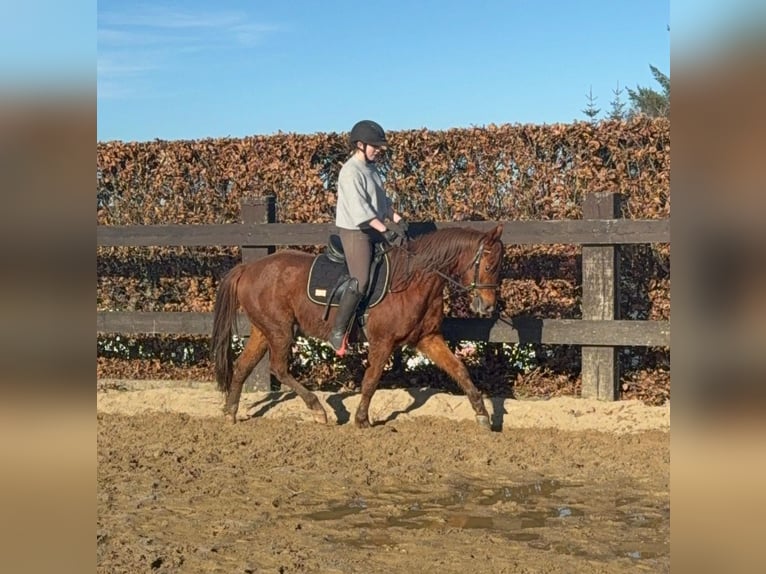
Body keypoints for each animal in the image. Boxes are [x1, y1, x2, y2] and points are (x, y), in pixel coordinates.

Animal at [210, 224, 504, 429]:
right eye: (490, 266)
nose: (488, 307)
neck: (413, 281)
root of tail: (248, 268)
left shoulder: (428, 338)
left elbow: (459, 370)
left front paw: (482, 415)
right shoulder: (383, 341)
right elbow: (371, 380)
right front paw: (362, 419)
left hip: (263, 331)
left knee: (243, 366)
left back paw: (230, 413)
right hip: (280, 331)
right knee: (278, 368)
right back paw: (318, 410)